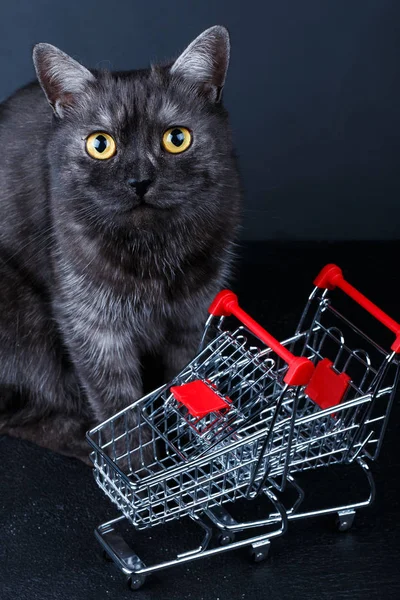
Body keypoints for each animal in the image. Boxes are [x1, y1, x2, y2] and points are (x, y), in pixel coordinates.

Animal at [0, 24, 241, 464]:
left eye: (176, 138)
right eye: (100, 144)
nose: (139, 180)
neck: (153, 250)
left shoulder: (194, 313)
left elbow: (189, 379)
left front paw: (201, 443)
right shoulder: (93, 326)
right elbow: (118, 406)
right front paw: (137, 466)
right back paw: (84, 444)